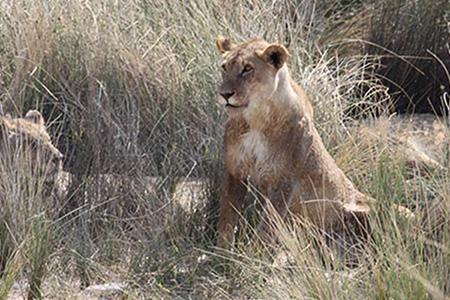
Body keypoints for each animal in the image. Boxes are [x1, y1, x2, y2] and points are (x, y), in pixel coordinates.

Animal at [214, 37, 372, 248]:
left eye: (247, 68)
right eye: (224, 67)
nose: (224, 94)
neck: (256, 119)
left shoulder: (285, 180)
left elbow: (267, 227)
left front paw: (253, 254)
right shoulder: (234, 170)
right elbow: (227, 218)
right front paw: (222, 252)